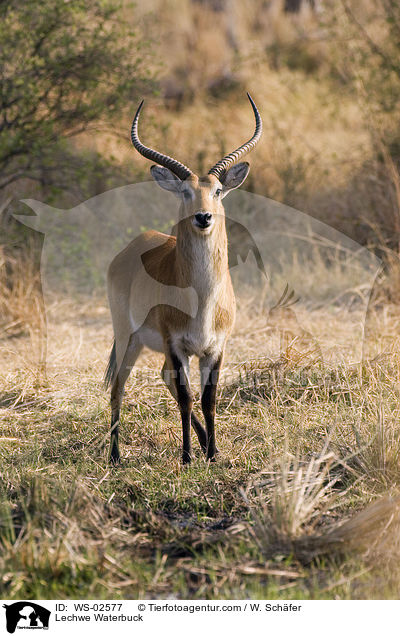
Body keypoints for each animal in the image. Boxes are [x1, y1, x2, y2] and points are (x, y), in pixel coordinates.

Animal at [105, 92, 262, 464]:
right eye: (185, 192)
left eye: (217, 190)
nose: (203, 217)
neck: (202, 301)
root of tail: (133, 246)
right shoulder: (176, 344)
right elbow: (187, 397)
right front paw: (188, 457)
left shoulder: (215, 348)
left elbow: (208, 399)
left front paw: (213, 453)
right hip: (127, 338)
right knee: (118, 387)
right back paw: (115, 457)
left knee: (164, 378)